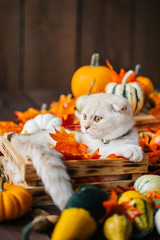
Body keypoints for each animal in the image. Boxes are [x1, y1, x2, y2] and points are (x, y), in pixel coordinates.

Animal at [9, 93, 143, 210]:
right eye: (84, 116)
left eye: (98, 119)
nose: (85, 127)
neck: (108, 140)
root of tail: (18, 138)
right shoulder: (93, 153)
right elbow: (110, 150)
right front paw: (131, 149)